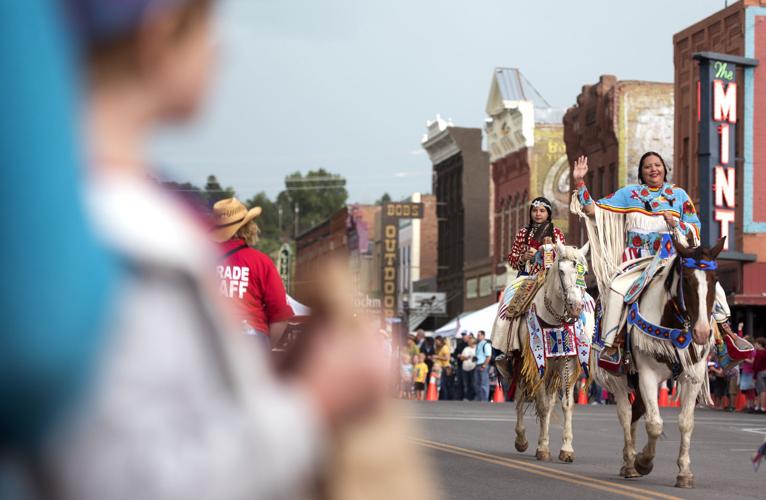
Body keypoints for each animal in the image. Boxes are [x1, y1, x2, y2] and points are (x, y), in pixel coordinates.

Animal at [512, 240, 596, 462]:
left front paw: (566, 449)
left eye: (584, 272)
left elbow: (566, 404)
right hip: (523, 363)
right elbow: (541, 405)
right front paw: (543, 447)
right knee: (521, 395)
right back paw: (521, 439)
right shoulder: (537, 362)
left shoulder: (569, 362)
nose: (575, 307)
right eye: (561, 270)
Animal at [592, 237, 728, 488]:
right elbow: (654, 424)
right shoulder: (647, 374)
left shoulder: (693, 375)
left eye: (715, 280)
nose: (702, 333)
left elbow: (686, 422)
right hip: (620, 379)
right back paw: (630, 463)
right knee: (626, 414)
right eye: (687, 279)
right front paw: (643, 462)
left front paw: (684, 472)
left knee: (635, 413)